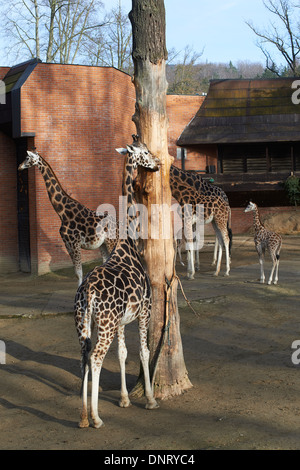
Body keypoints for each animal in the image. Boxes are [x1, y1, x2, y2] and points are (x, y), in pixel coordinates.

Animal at [17, 150, 118, 286]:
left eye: (28, 158)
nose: (19, 166)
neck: (63, 213)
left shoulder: (74, 243)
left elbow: (79, 273)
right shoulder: (67, 244)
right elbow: (76, 273)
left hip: (112, 241)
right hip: (103, 244)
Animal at [74, 138, 162, 428]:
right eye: (144, 152)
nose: (158, 163)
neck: (128, 242)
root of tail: (88, 292)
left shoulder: (124, 319)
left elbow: (123, 353)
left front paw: (124, 399)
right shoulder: (145, 309)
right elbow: (144, 351)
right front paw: (150, 399)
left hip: (85, 322)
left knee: (84, 356)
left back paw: (83, 417)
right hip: (106, 323)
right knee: (96, 357)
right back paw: (96, 417)